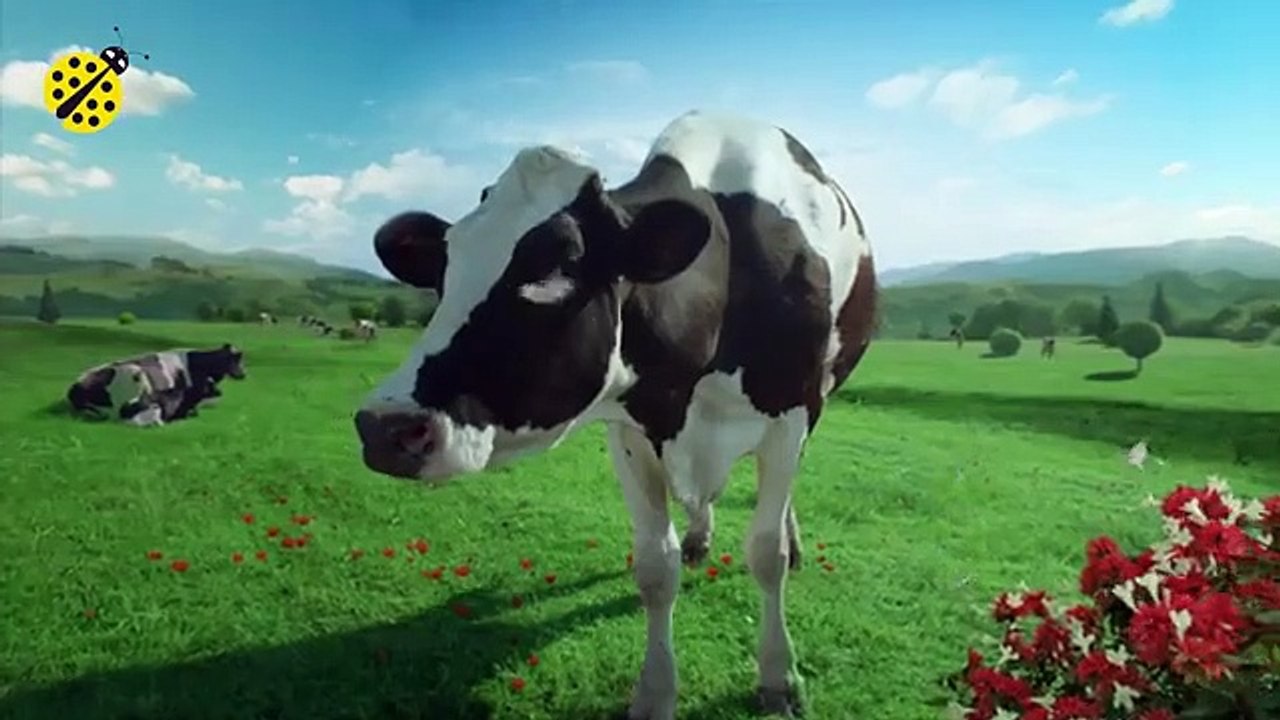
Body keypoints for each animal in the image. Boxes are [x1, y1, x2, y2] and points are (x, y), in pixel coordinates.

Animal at [352, 110, 876, 719]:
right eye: (446, 268)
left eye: (556, 267)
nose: (383, 428)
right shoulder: (629, 428)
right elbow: (654, 567)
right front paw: (654, 691)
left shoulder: (791, 413)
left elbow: (765, 551)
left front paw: (778, 676)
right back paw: (699, 536)